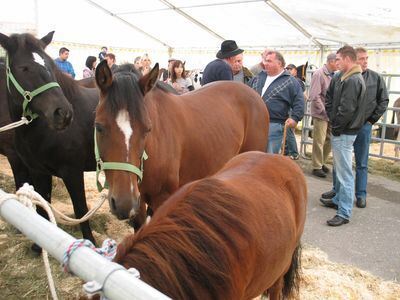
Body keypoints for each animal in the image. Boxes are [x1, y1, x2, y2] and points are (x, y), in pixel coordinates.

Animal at [0, 31, 99, 250]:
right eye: (24, 68)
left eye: (50, 66)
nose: (63, 114)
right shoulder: (38, 170)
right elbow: (42, 205)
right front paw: (39, 246)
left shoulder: (72, 172)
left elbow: (81, 209)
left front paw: (91, 245)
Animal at [94, 59, 268, 227]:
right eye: (98, 127)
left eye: (147, 129)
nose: (124, 204)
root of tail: (254, 94)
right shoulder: (139, 201)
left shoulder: (162, 198)